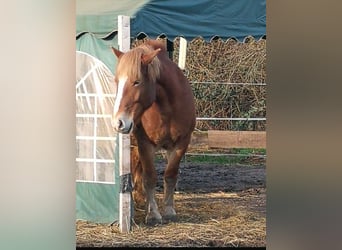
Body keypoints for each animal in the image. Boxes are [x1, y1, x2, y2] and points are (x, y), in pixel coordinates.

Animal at [111, 39, 196, 225]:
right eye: (117, 81)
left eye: (136, 82)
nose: (118, 122)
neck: (168, 109)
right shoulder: (145, 144)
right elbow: (149, 177)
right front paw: (153, 213)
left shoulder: (181, 143)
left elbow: (170, 175)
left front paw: (169, 210)